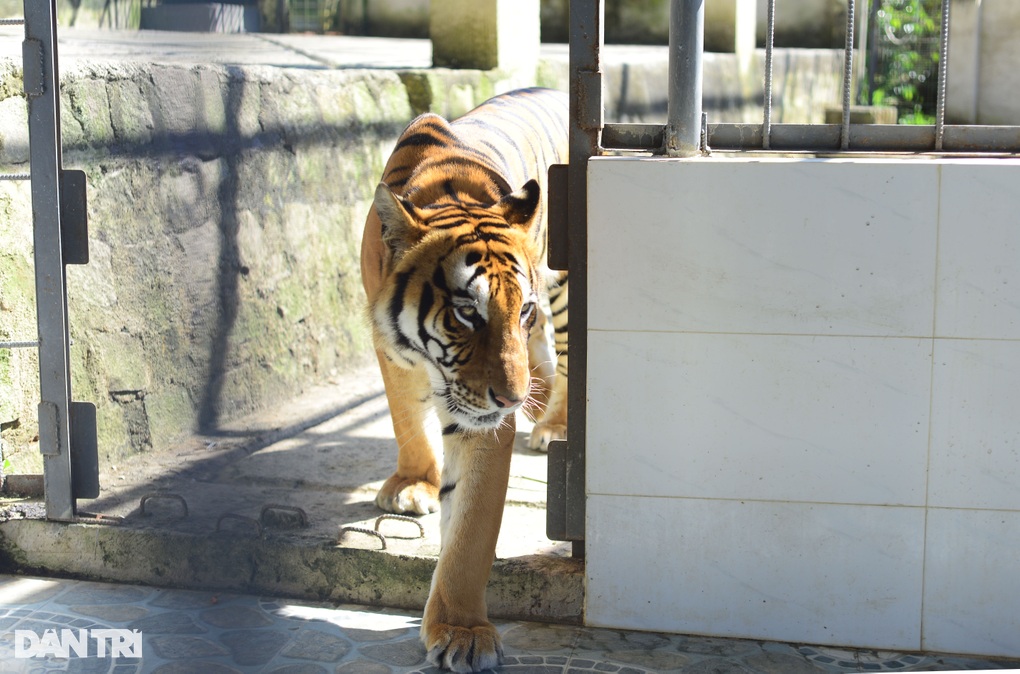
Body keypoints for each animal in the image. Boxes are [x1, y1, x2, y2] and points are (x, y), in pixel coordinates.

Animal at [359, 86, 567, 668]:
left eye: (521, 310)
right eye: (467, 313)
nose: (512, 399)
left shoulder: (481, 416)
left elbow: (473, 526)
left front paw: (461, 631)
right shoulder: (390, 349)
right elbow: (406, 420)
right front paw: (413, 485)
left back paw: (554, 424)